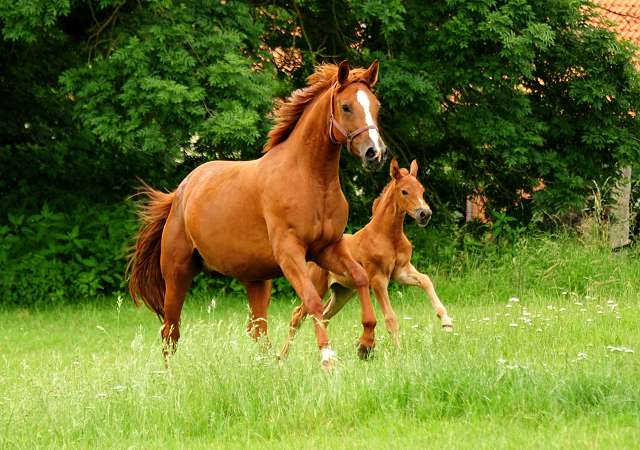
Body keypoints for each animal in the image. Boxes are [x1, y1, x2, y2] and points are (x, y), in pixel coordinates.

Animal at [126, 59, 384, 368]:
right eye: (346, 107)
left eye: (376, 106)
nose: (375, 153)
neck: (311, 179)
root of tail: (180, 192)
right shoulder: (290, 253)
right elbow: (312, 301)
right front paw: (327, 358)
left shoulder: (328, 248)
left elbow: (360, 277)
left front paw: (366, 342)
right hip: (177, 274)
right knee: (170, 330)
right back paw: (170, 374)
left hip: (256, 280)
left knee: (256, 329)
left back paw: (271, 366)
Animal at [282, 159, 456, 358]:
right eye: (404, 191)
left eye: (422, 190)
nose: (425, 214)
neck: (388, 236)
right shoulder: (377, 279)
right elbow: (391, 318)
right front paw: (399, 352)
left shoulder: (402, 272)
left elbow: (426, 280)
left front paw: (446, 322)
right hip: (318, 286)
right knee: (297, 315)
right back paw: (282, 357)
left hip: (342, 293)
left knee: (324, 317)